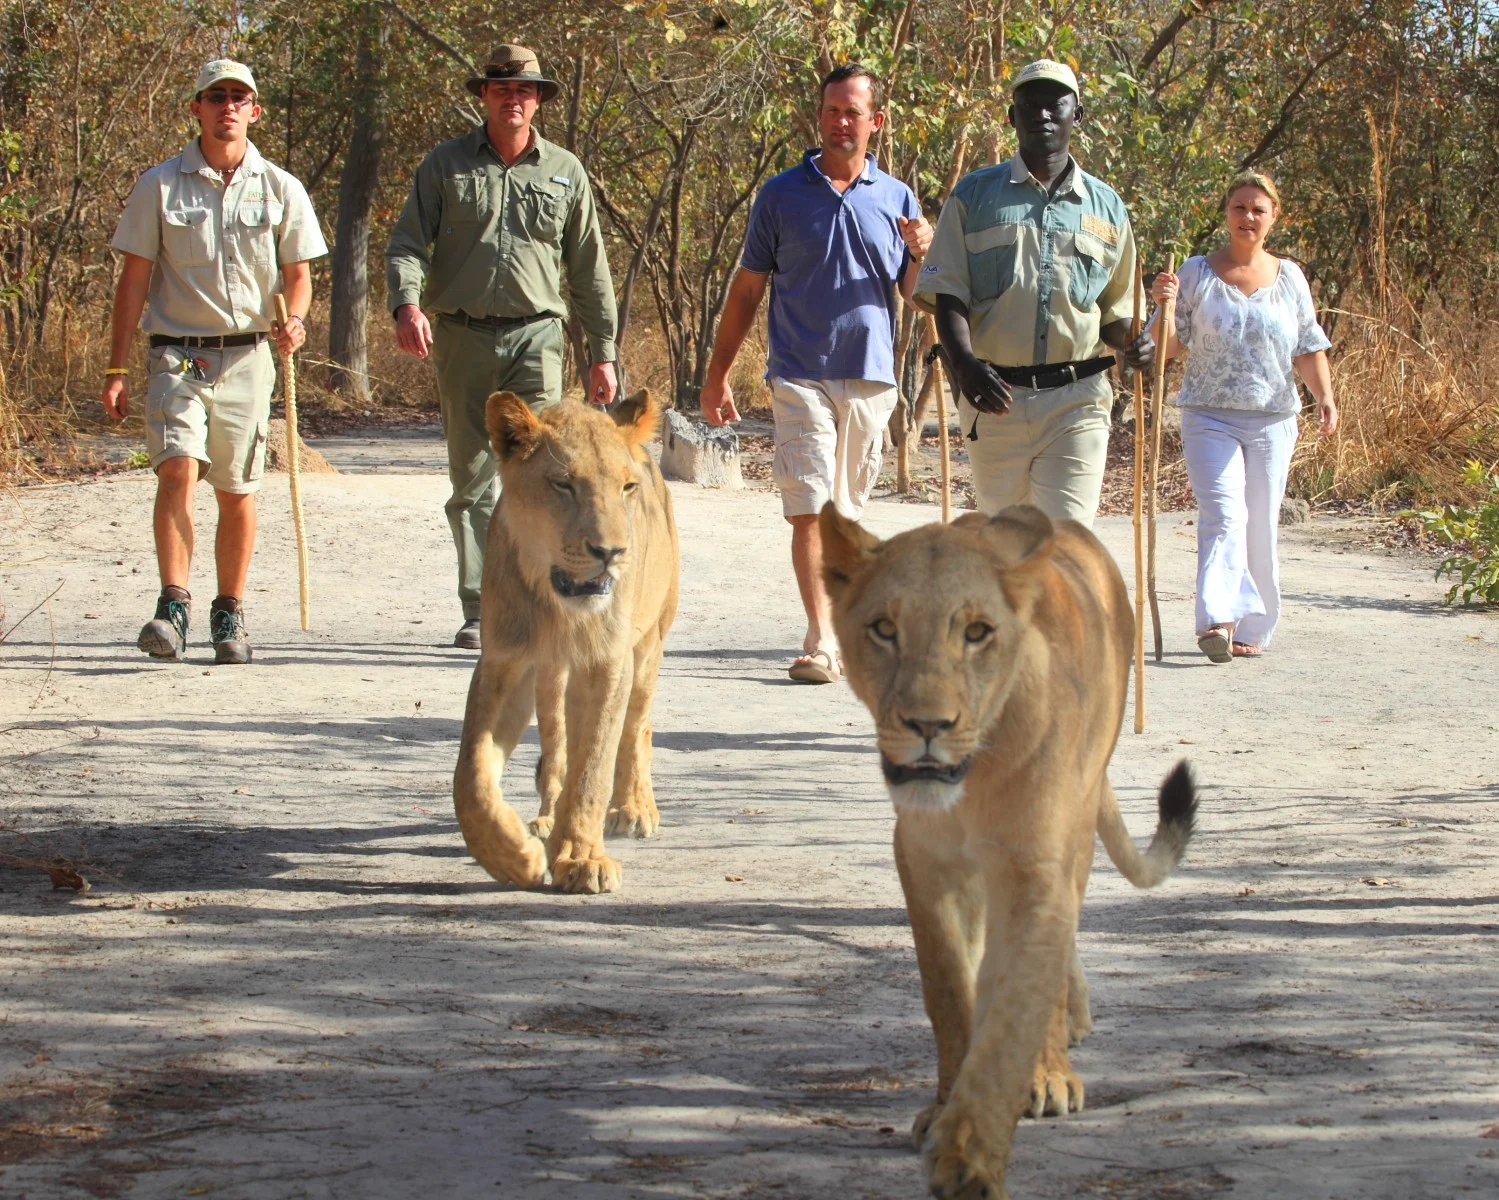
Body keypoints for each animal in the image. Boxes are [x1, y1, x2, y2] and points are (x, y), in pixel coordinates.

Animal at [452, 390, 679, 895]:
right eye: (563, 485)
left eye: (626, 488)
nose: (610, 552)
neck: (560, 611)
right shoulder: (505, 660)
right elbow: (472, 774)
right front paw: (512, 857)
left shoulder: (608, 661)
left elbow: (593, 764)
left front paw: (582, 858)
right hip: (551, 674)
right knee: (556, 743)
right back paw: (544, 820)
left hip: (650, 642)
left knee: (637, 727)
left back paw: (634, 809)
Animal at [820, 501, 1197, 1200]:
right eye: (884, 629)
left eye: (977, 633)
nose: (928, 726)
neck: (975, 779)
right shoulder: (923, 858)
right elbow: (948, 987)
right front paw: (946, 1107)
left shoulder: (1035, 865)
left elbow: (1014, 1012)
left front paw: (971, 1155)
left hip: (1078, 821)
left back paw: (1054, 1061)